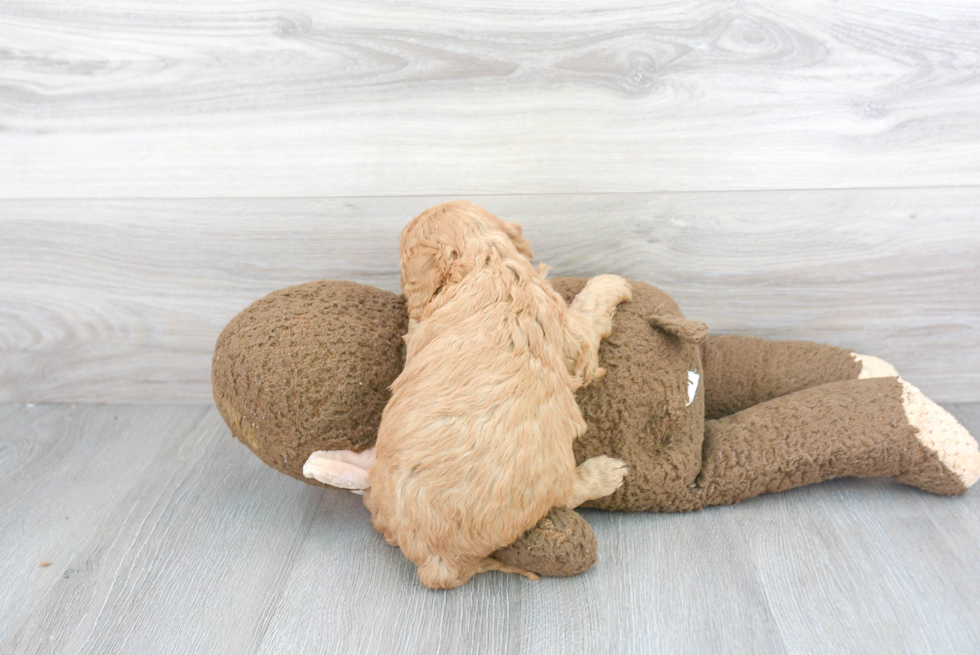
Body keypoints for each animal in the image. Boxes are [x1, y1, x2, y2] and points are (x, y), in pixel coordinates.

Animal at [364, 201, 632, 588]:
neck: (484, 259)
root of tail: (437, 564)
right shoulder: (572, 334)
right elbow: (590, 308)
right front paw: (612, 282)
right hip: (552, 470)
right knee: (568, 494)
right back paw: (605, 473)